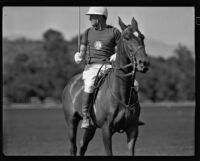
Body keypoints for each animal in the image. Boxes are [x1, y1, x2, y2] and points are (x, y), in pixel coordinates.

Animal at [62, 16, 150, 156]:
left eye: (142, 36)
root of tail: (70, 82)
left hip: (91, 127)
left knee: (82, 146)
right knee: (73, 147)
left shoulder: (133, 130)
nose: (144, 63)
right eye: (126, 37)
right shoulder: (106, 129)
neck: (122, 92)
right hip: (71, 120)